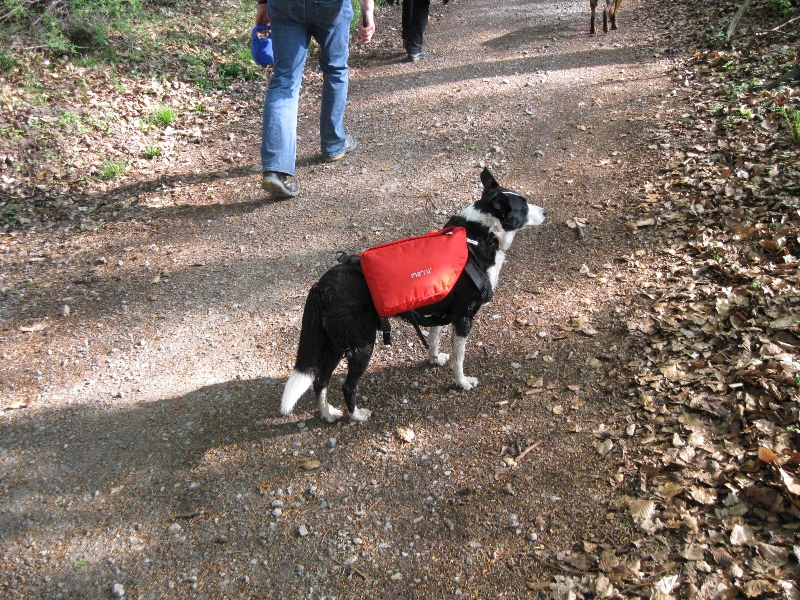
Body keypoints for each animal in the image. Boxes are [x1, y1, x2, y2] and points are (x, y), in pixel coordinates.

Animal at [278, 168, 548, 422]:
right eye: (524, 207)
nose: (545, 211)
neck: (479, 237)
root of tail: (321, 287)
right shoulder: (464, 319)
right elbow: (459, 359)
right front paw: (462, 383)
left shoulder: (440, 309)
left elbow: (434, 339)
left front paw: (434, 359)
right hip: (361, 346)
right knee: (347, 385)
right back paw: (356, 415)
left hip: (335, 344)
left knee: (319, 381)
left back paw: (328, 414)